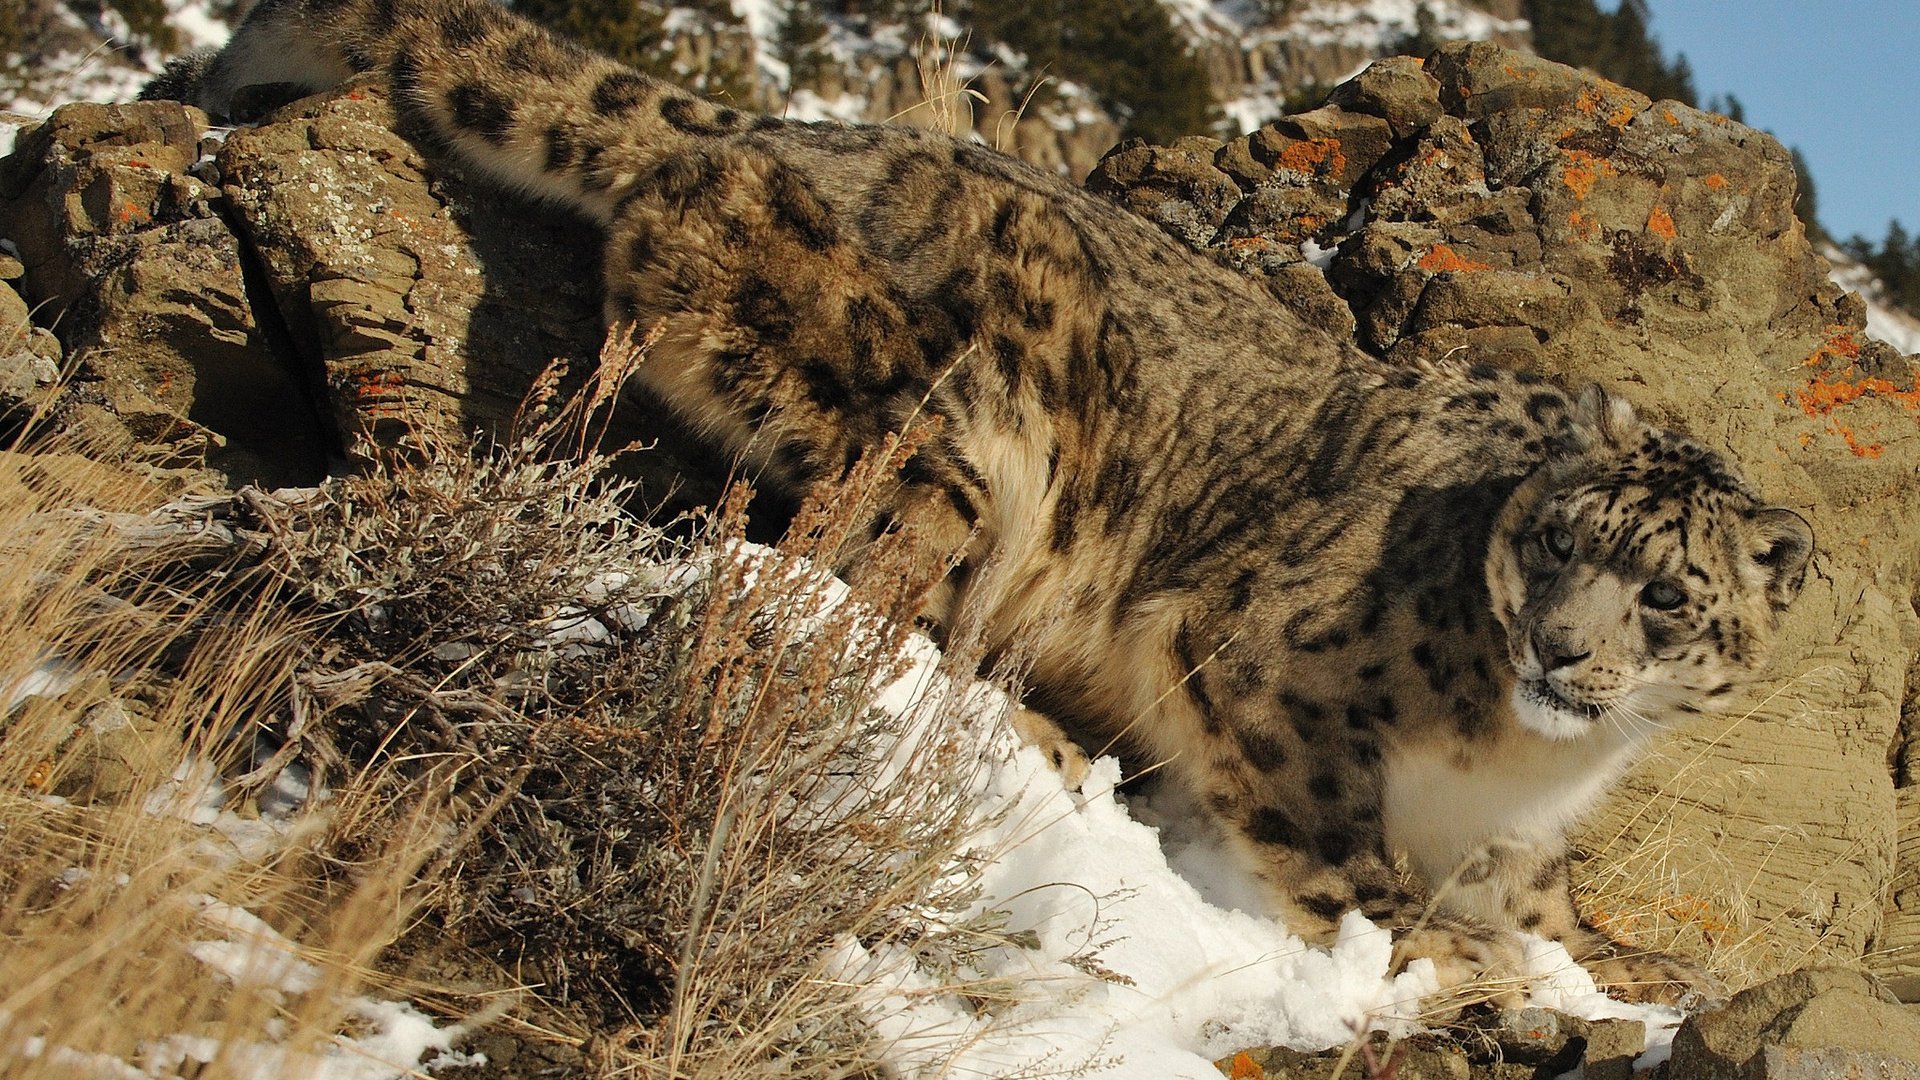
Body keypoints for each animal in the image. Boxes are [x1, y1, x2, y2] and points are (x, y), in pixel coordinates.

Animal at [153, 0, 1812, 999]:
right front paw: (1431, 971)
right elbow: (1337, 851)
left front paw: (1596, 978)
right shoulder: (1270, 662)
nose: (1561, 652)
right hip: (953, 437)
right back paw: (1034, 741)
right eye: (1555, 543)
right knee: (852, 601)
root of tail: (738, 132)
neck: (1521, 769)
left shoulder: (1527, 849)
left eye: (1666, 591)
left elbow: (1559, 918)